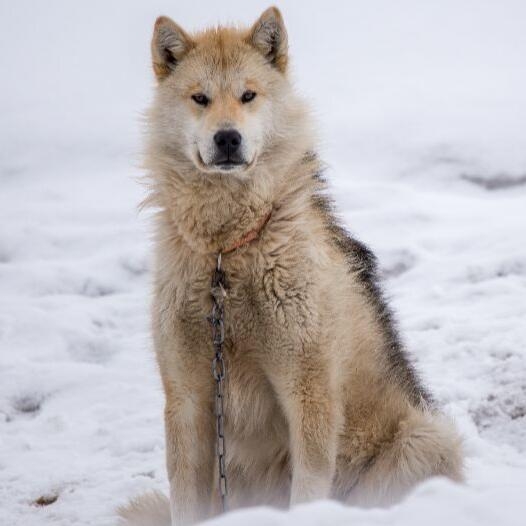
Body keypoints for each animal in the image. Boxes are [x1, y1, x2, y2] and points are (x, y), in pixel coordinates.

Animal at [118, 7, 462, 526]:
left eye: (248, 95)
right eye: (200, 98)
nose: (227, 137)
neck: (227, 255)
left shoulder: (309, 392)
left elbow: (310, 490)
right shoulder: (187, 398)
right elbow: (184, 501)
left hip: (425, 439)